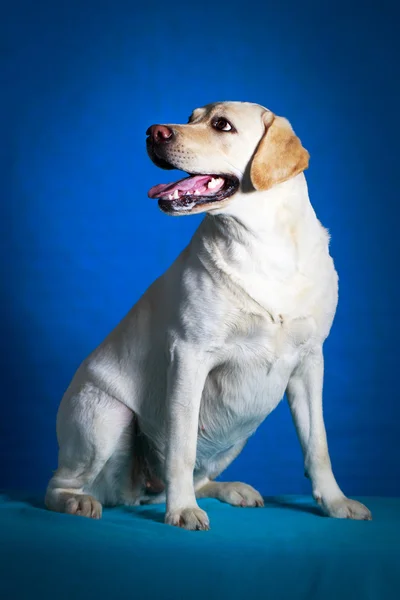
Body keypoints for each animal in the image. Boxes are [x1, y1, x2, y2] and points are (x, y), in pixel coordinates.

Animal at [44, 101, 372, 528]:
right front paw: (182, 510)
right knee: (59, 485)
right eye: (191, 117)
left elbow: (318, 444)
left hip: (238, 433)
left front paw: (335, 502)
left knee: (198, 478)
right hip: (106, 416)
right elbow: (181, 446)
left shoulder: (310, 363)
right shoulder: (189, 355)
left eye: (222, 125)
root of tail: (136, 492)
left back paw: (231, 489)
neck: (265, 247)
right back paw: (79, 502)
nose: (153, 131)